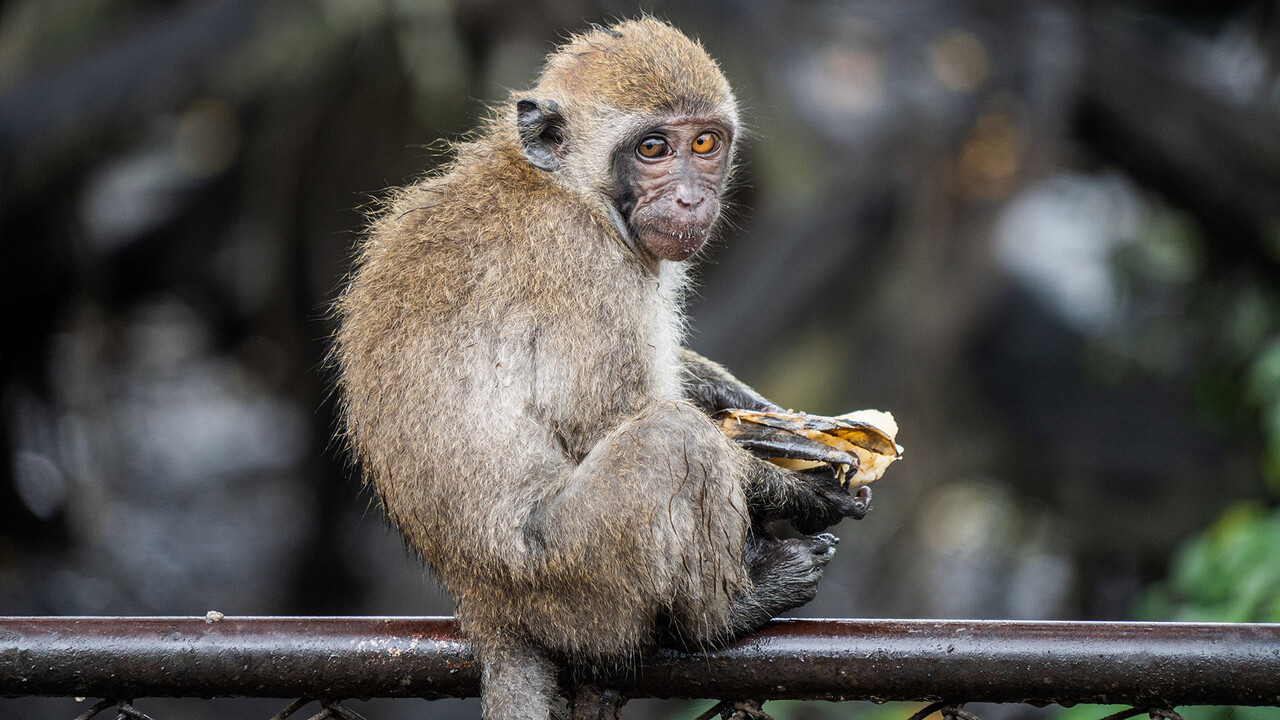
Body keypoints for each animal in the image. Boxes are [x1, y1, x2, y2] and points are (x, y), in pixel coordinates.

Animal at [332, 18, 870, 717]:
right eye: (651, 148)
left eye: (703, 142)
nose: (691, 199)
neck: (570, 186)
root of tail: (484, 603)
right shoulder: (581, 260)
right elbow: (610, 417)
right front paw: (802, 488)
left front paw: (772, 418)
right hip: (574, 582)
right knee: (669, 438)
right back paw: (724, 615)